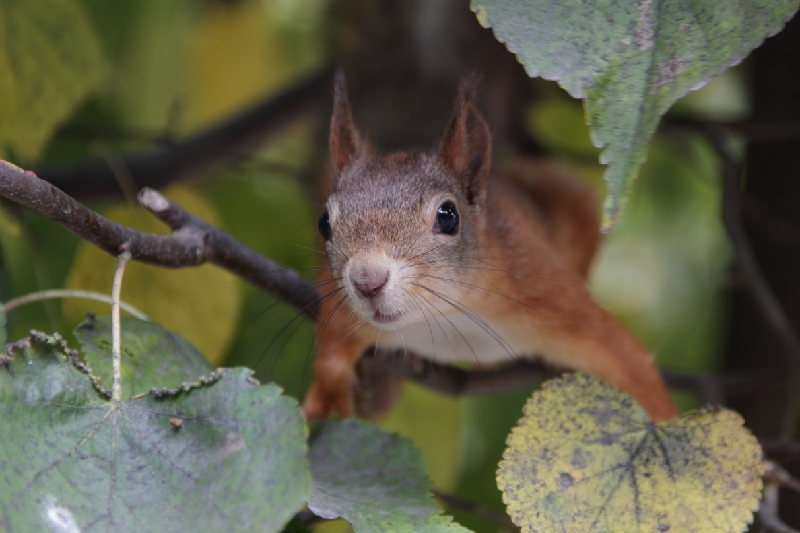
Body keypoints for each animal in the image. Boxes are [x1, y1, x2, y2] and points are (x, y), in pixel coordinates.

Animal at [304, 72, 680, 422]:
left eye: (448, 216)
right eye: (324, 222)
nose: (367, 282)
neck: (447, 316)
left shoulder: (545, 288)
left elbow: (628, 361)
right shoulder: (341, 309)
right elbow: (331, 351)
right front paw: (327, 399)